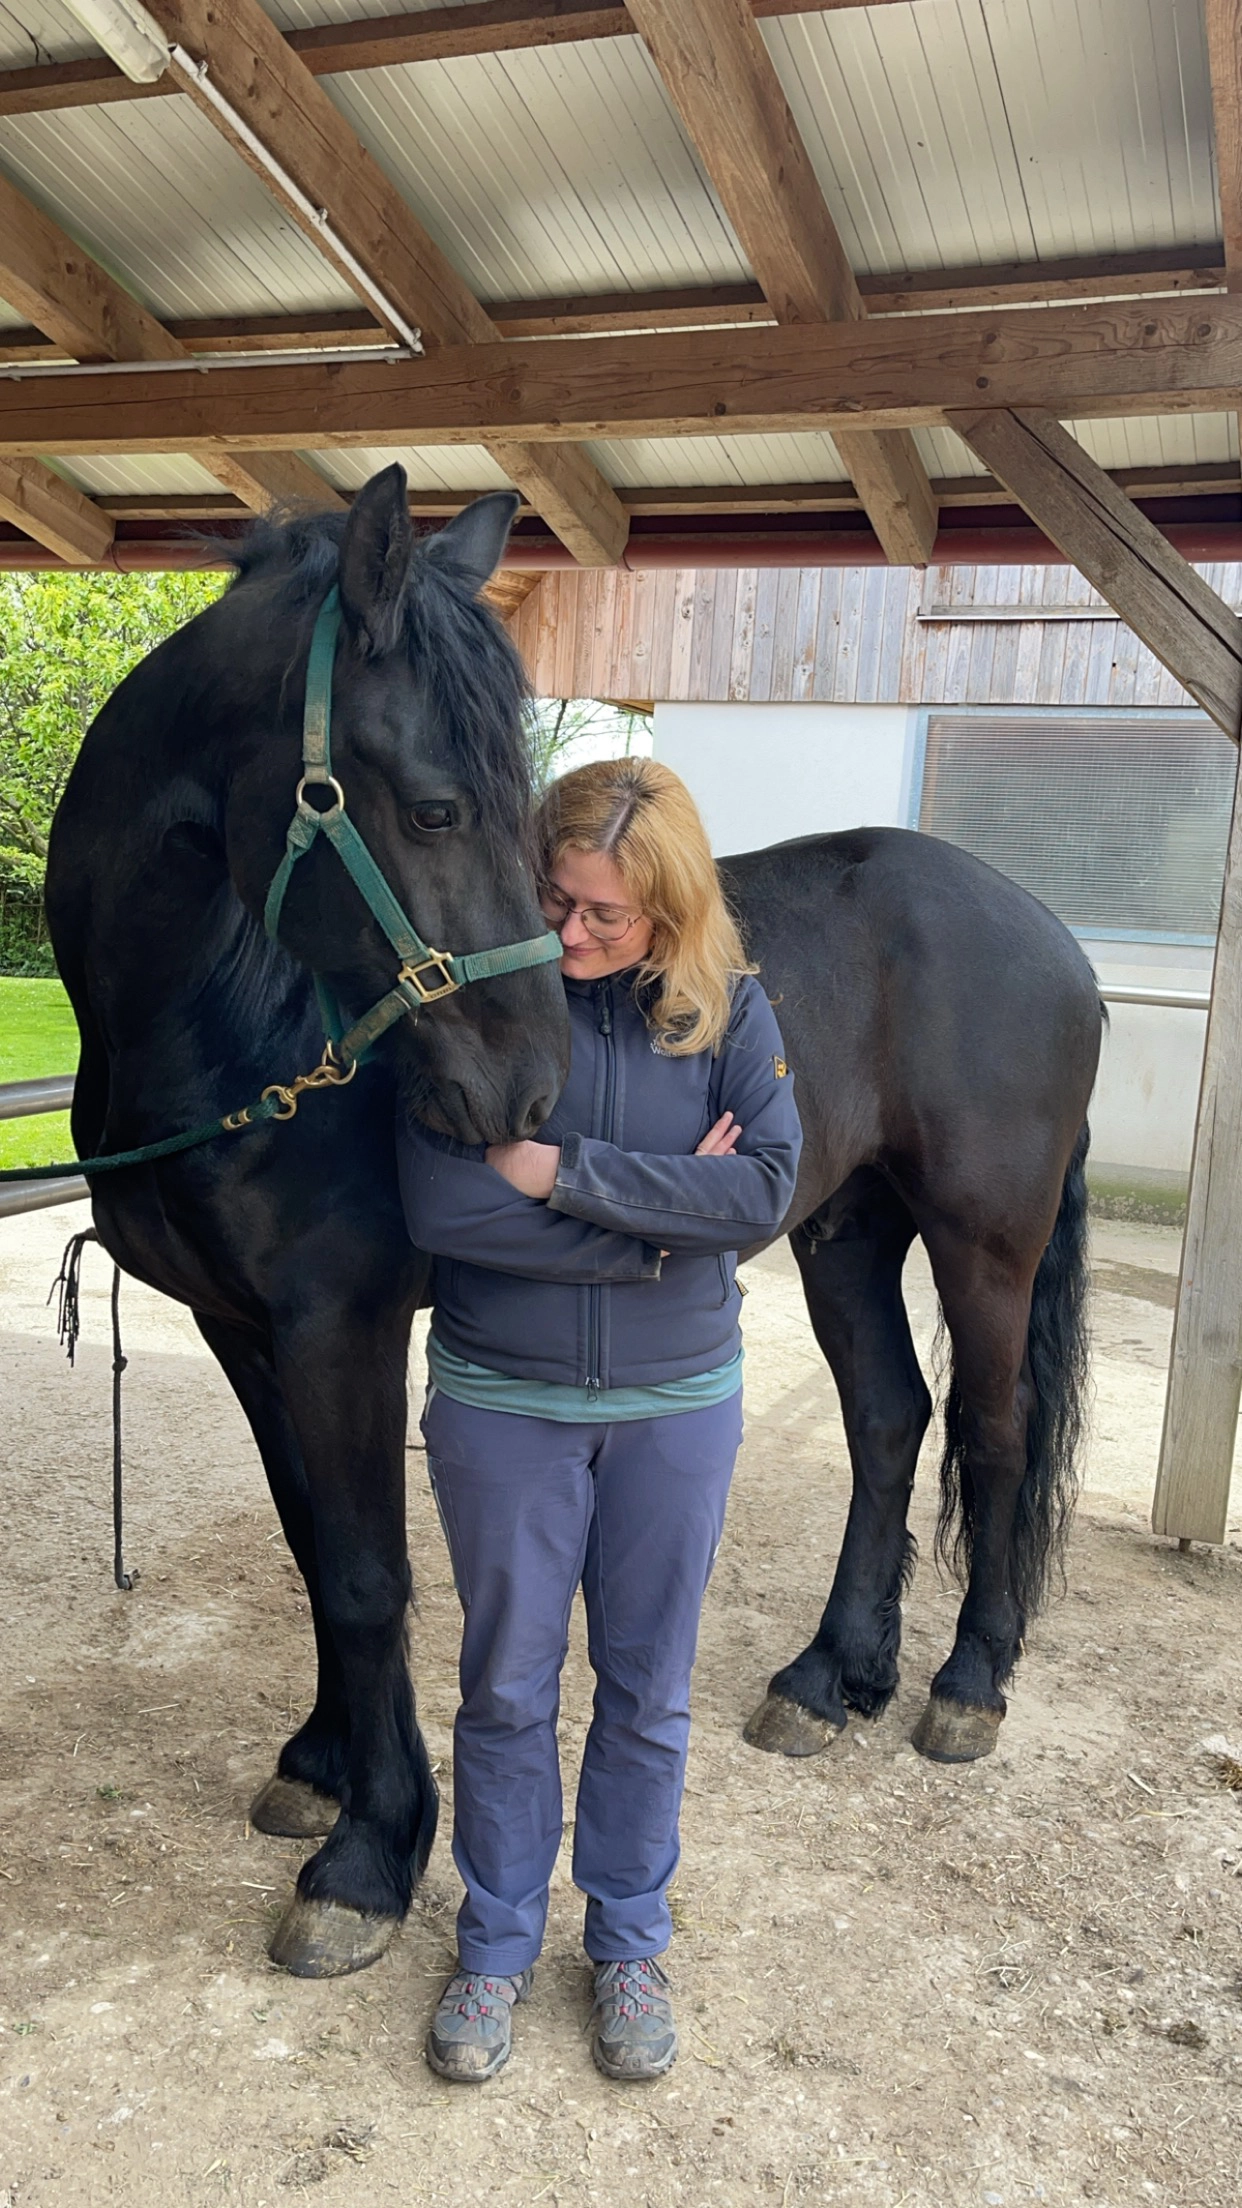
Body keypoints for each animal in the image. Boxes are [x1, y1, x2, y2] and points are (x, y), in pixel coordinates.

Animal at [45, 467, 569, 1980]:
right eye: (441, 811)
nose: (533, 1093)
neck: (230, 1033)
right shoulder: (243, 1327)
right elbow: (313, 1544)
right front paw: (329, 1770)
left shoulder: (344, 1324)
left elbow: (369, 1573)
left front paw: (375, 1856)